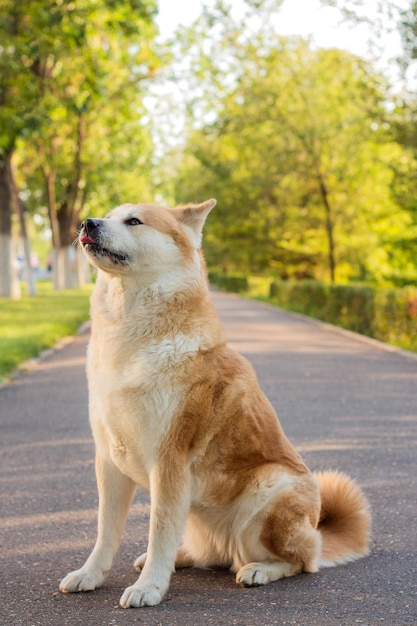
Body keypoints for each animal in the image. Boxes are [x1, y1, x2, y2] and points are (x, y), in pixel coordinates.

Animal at [59, 199, 370, 604]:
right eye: (108, 215)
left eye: (134, 221)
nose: (87, 223)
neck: (131, 340)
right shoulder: (110, 459)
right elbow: (105, 532)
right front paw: (90, 575)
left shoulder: (170, 460)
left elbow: (159, 530)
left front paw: (149, 589)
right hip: (197, 514)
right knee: (213, 554)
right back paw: (180, 558)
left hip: (269, 489)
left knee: (301, 559)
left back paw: (259, 570)